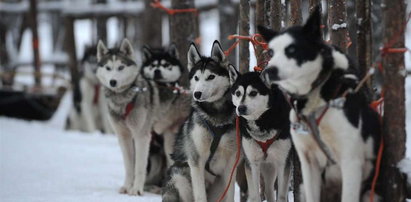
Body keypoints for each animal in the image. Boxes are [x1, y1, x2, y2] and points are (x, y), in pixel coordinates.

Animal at [97, 38, 191, 195]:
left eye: (121, 67)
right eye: (108, 68)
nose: (113, 82)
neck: (124, 99)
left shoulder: (141, 136)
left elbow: (139, 167)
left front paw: (136, 190)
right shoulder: (123, 137)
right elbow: (129, 167)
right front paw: (127, 187)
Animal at [229, 70, 292, 202]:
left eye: (253, 93)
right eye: (238, 93)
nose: (241, 108)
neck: (263, 121)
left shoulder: (283, 162)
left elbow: (281, 196)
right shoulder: (252, 163)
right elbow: (254, 195)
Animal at [260, 6, 384, 202]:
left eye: (292, 49)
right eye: (271, 52)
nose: (268, 70)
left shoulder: (351, 161)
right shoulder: (308, 161)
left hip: (371, 193)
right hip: (303, 188)